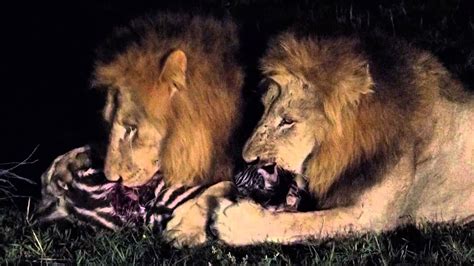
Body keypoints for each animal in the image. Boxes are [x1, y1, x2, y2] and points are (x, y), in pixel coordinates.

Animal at [211, 32, 474, 246]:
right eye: (263, 108)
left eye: (287, 121)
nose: (245, 158)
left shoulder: (370, 216)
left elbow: (308, 221)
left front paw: (233, 221)